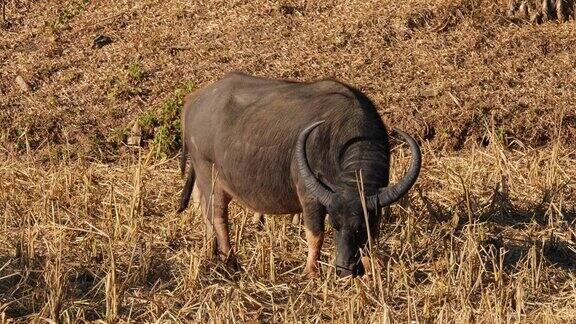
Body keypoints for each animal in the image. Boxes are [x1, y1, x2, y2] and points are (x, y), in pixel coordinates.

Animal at [178, 72, 420, 278]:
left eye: (360, 227)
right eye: (335, 225)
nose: (344, 269)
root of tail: (193, 101)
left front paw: (371, 268)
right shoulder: (310, 197)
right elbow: (316, 234)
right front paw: (311, 271)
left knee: (205, 211)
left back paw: (210, 250)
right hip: (208, 174)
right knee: (218, 216)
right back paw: (231, 261)